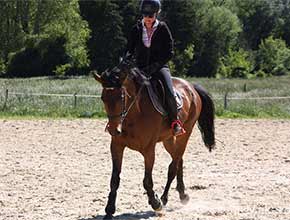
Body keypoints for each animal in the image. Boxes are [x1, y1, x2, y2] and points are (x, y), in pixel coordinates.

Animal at [93, 59, 215, 219]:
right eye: (103, 98)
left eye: (122, 97)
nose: (114, 129)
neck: (134, 114)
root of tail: (191, 87)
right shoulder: (116, 147)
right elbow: (114, 179)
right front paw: (109, 210)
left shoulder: (149, 150)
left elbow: (147, 181)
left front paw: (156, 203)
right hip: (169, 140)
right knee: (178, 159)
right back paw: (182, 195)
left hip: (185, 134)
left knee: (173, 167)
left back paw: (164, 198)